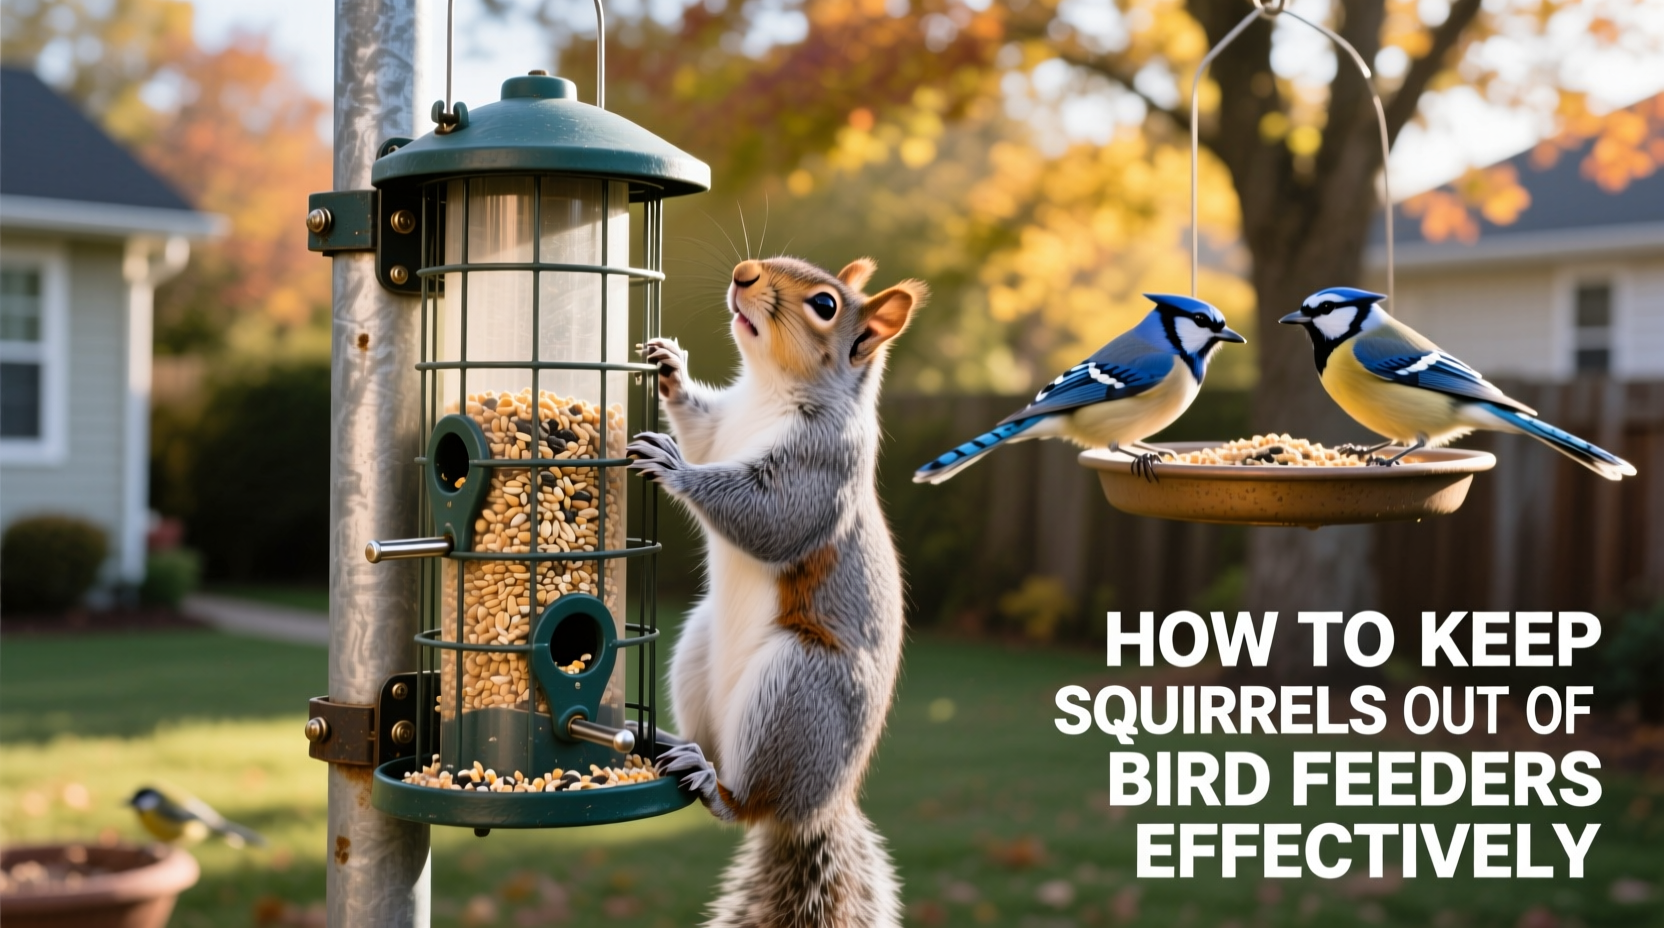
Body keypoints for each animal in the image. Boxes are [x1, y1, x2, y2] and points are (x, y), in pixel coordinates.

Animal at [627, 256, 927, 928]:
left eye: (825, 305)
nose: (743, 274)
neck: (766, 393)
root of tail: (817, 811)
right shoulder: (722, 429)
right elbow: (701, 428)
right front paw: (670, 370)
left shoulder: (818, 468)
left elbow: (769, 517)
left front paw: (675, 468)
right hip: (697, 648)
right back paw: (669, 742)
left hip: (796, 691)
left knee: (747, 803)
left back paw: (714, 784)